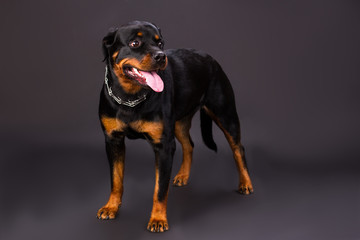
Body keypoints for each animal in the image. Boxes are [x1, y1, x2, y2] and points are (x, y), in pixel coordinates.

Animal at [95, 21, 253, 232]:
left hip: (225, 114)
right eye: (135, 43)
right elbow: (116, 179)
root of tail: (210, 58)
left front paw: (158, 219)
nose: (161, 56)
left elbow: (160, 188)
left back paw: (245, 183)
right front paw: (111, 207)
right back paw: (183, 175)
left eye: (160, 43)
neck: (130, 98)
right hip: (179, 122)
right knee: (189, 145)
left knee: (238, 148)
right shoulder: (113, 141)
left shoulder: (163, 146)